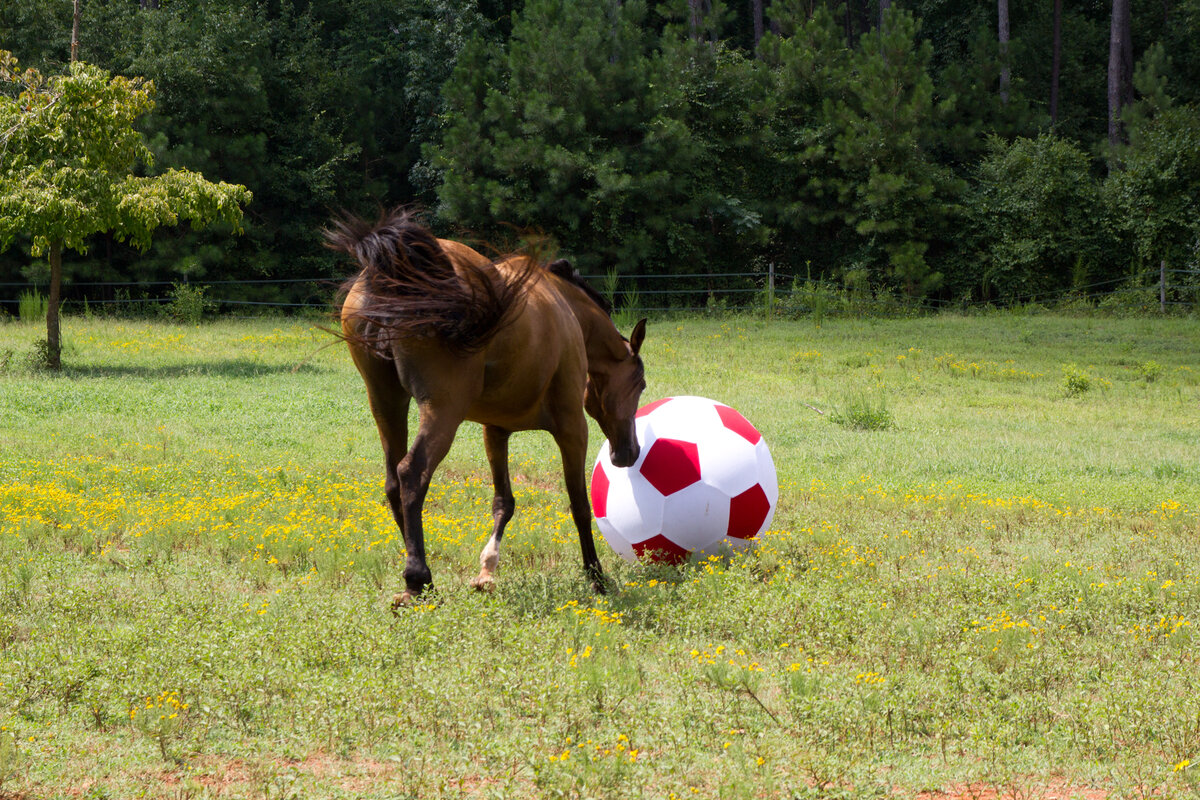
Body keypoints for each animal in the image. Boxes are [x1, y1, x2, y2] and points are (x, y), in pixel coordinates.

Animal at [328, 211, 648, 606]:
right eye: (641, 383)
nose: (628, 452)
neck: (565, 307)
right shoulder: (573, 427)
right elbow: (579, 505)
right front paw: (597, 577)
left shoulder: (495, 431)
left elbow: (503, 501)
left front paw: (486, 571)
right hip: (442, 410)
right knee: (412, 474)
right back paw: (418, 579)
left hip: (386, 403)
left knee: (392, 481)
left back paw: (425, 578)